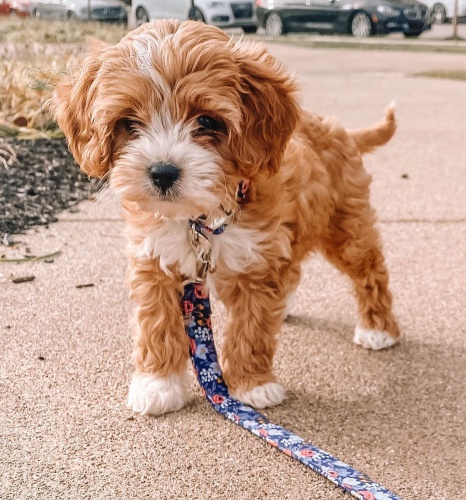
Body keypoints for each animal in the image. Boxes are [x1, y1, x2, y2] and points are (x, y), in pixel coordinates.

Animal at [52, 19, 400, 416]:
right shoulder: (153, 257)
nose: (162, 172)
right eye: (129, 122)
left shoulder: (257, 260)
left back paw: (378, 328)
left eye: (207, 121)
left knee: (370, 269)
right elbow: (156, 322)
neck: (202, 216)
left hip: (346, 226)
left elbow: (252, 325)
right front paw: (157, 385)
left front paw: (252, 385)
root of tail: (338, 130)